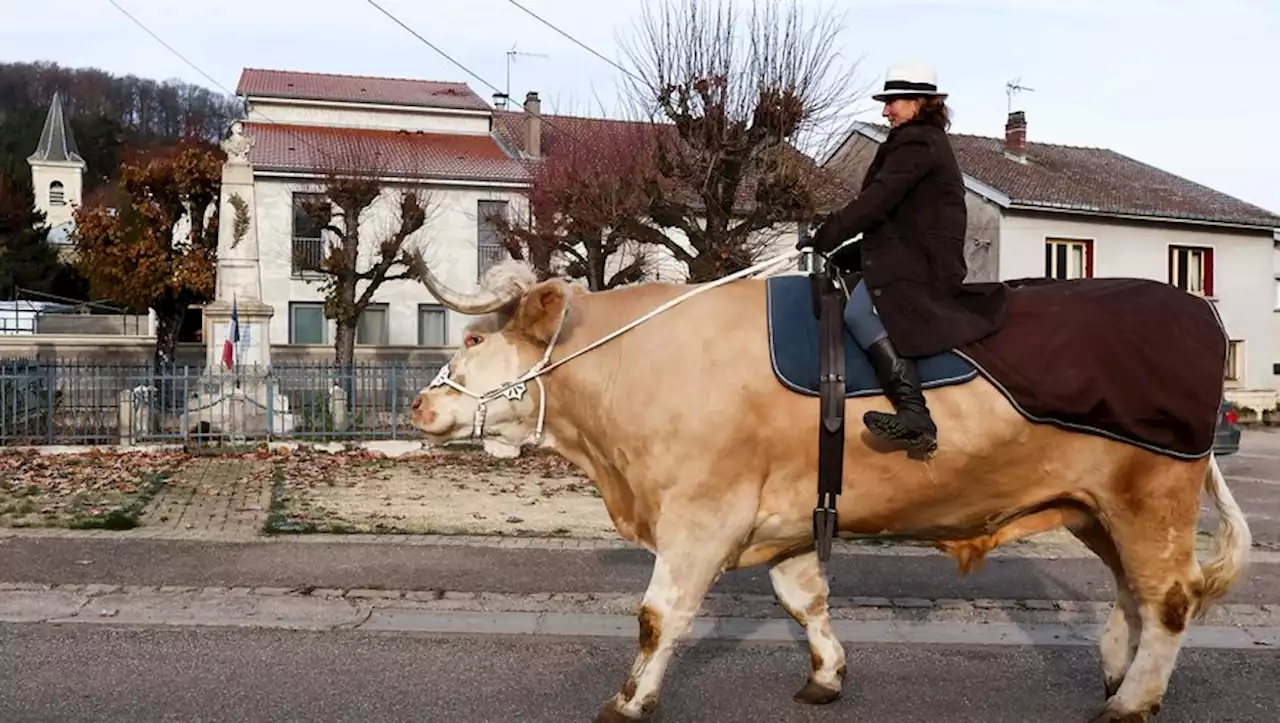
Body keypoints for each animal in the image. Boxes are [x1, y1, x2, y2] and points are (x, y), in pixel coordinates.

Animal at [407, 255, 1249, 716]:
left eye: (474, 336)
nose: (418, 404)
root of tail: (1196, 311)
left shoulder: (700, 515)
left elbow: (658, 616)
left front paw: (629, 698)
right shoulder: (783, 518)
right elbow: (803, 599)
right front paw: (826, 675)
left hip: (1152, 494)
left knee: (1168, 598)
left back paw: (1131, 702)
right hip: (1098, 507)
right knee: (1135, 592)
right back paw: (1118, 679)